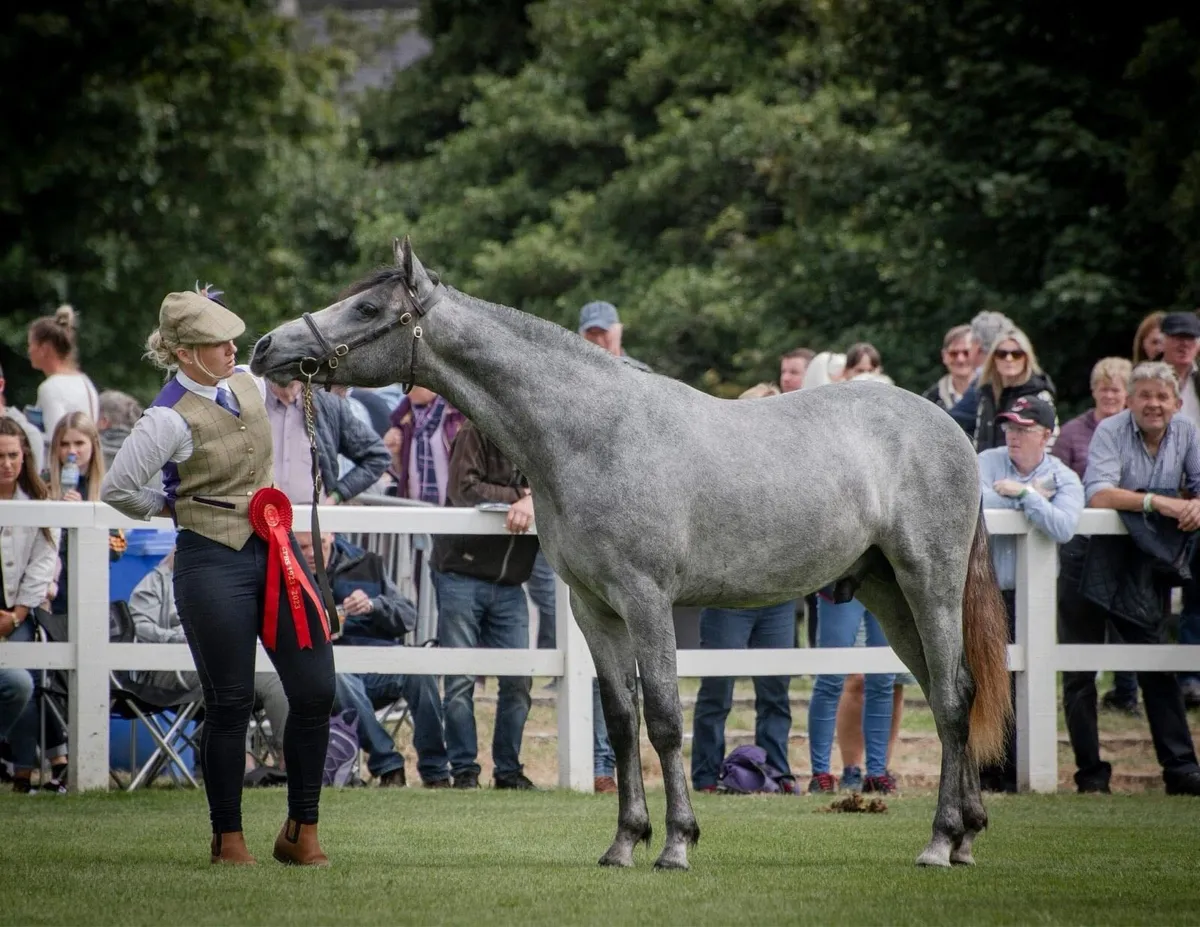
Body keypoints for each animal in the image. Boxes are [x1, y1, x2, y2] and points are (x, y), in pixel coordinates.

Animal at [250, 237, 1013, 871]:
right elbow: (621, 720)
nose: (264, 347)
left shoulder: (647, 601)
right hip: (888, 593)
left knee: (954, 695)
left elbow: (668, 719)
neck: (592, 432)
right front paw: (624, 842)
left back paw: (942, 840)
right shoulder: (594, 608)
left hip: (928, 582)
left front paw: (676, 843)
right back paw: (967, 833)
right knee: (950, 694)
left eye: (367, 306)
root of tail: (947, 429)